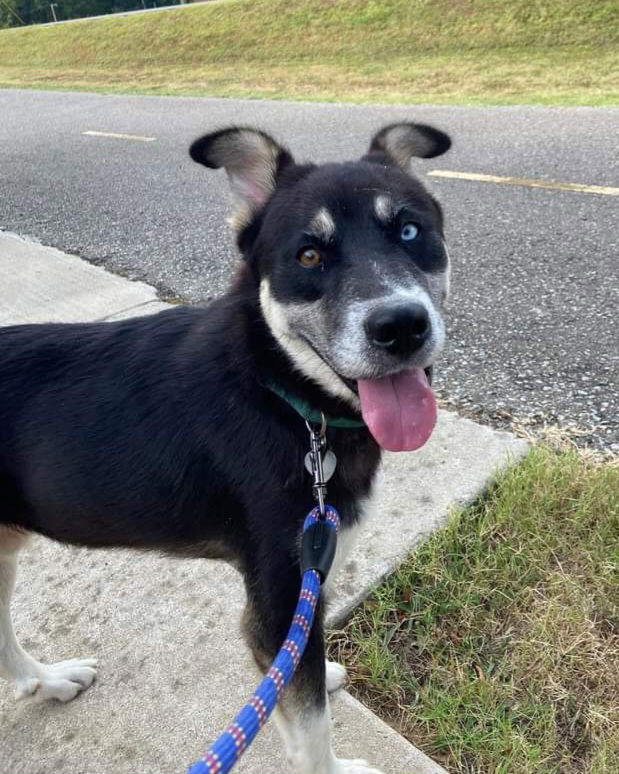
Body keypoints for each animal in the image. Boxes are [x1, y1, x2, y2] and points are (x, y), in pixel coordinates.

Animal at [0, 123, 450, 774]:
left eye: (411, 232)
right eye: (308, 255)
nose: (401, 327)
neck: (284, 395)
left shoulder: (302, 583)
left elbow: (298, 679)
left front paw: (323, 672)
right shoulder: (278, 598)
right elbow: (311, 725)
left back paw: (48, 681)